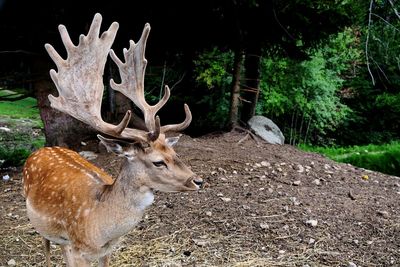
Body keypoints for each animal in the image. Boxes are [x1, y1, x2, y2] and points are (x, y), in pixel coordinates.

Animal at [22, 13, 203, 267]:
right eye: (158, 162)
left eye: (175, 154)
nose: (198, 181)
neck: (101, 226)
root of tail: (41, 150)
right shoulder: (77, 249)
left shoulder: (107, 250)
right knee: (46, 245)